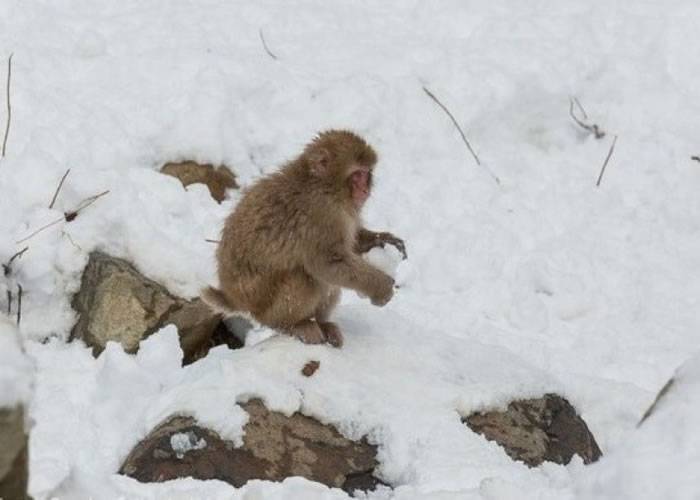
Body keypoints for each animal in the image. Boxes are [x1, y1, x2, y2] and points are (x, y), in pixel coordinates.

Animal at [202, 130, 408, 348]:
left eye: (367, 173)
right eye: (357, 174)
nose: (364, 190)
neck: (321, 185)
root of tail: (237, 300)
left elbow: (350, 244)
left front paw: (382, 240)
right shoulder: (322, 214)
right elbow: (328, 262)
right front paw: (381, 287)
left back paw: (323, 324)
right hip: (266, 307)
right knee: (304, 277)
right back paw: (292, 325)